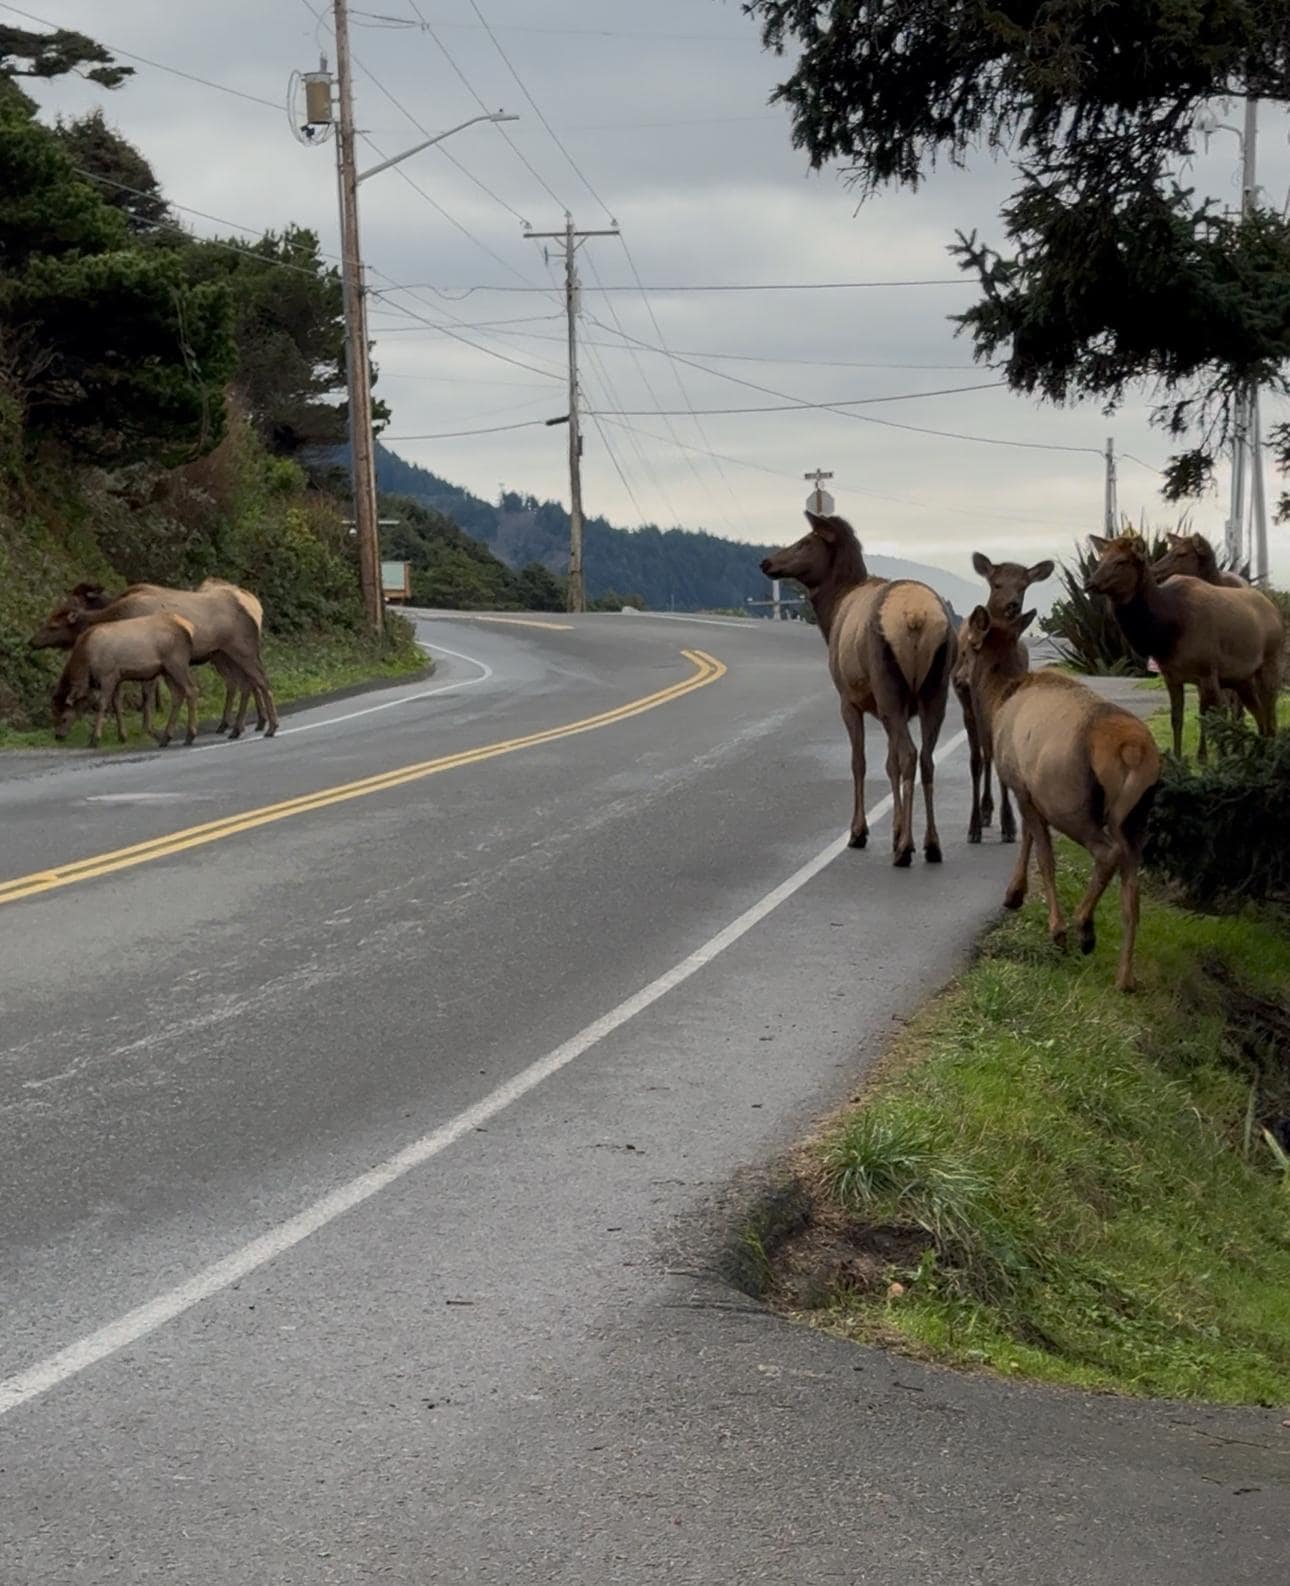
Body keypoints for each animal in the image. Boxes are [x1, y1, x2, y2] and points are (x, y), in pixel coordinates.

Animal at [53, 615, 199, 749]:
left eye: (64, 718)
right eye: (54, 714)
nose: (58, 736)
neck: (86, 663)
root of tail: (188, 630)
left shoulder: (108, 674)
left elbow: (102, 704)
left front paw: (94, 739)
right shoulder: (117, 678)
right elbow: (117, 704)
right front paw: (122, 736)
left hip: (176, 663)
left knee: (191, 690)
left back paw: (190, 735)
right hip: (166, 670)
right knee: (177, 695)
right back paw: (165, 738)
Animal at [761, 511, 954, 866]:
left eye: (805, 542)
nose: (766, 562)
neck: (832, 611)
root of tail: (916, 617)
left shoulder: (850, 701)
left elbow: (860, 762)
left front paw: (860, 832)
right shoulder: (893, 709)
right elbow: (889, 764)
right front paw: (894, 831)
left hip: (889, 686)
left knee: (910, 755)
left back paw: (905, 848)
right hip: (935, 691)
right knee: (926, 758)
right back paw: (931, 844)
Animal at [954, 552, 1054, 845]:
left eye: (1024, 586)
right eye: (996, 584)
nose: (1012, 605)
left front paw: (1006, 823)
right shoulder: (971, 711)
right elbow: (977, 761)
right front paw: (977, 823)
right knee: (985, 756)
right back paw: (986, 811)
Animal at [961, 605, 1161, 992]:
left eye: (963, 644)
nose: (956, 677)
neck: (998, 700)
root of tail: (1133, 751)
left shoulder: (1023, 786)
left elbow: (1044, 857)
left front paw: (1055, 927)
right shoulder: (1027, 790)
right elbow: (1026, 837)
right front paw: (1013, 894)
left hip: (1071, 802)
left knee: (1107, 854)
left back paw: (1083, 927)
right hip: (1136, 818)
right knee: (1133, 892)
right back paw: (1124, 978)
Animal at [1086, 534, 1283, 760]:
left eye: (1121, 561)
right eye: (1101, 558)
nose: (1089, 583)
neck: (1167, 632)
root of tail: (1275, 610)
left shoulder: (1208, 673)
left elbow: (1214, 718)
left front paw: (1213, 758)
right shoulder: (1172, 676)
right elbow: (1177, 718)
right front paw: (1179, 758)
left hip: (1270, 664)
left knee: (1268, 712)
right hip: (1242, 679)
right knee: (1259, 716)